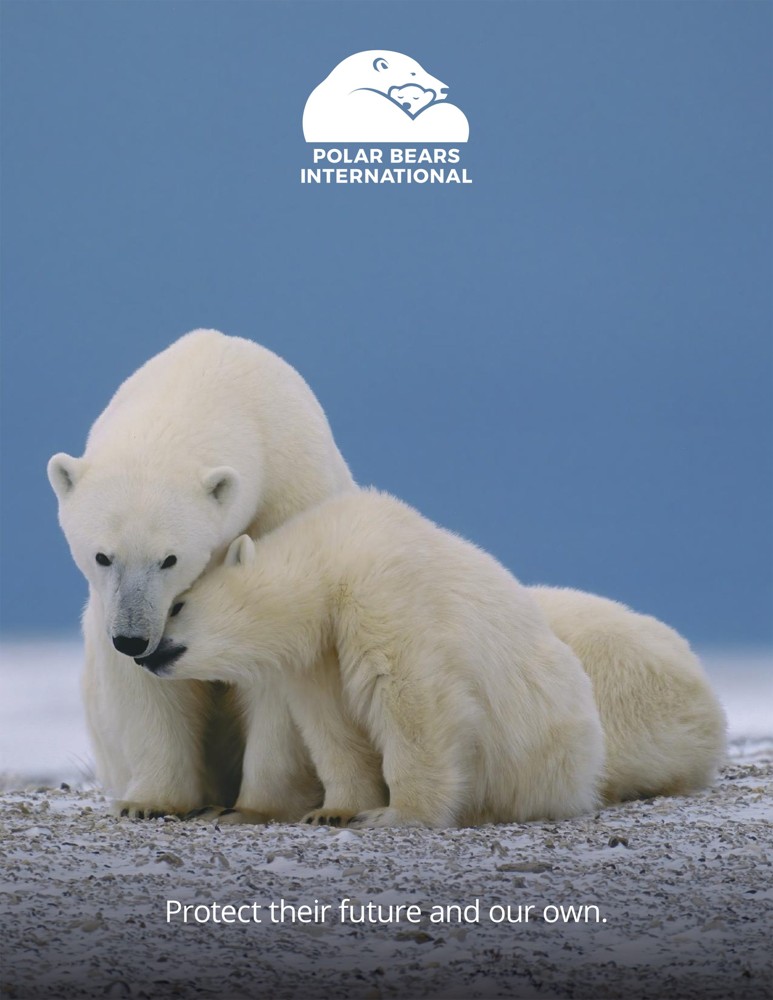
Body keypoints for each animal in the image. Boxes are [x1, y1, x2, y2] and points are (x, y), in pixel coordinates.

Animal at [47, 329, 356, 818]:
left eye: (169, 559)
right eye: (102, 556)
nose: (131, 639)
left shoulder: (289, 501)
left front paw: (257, 806)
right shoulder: (116, 611)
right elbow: (151, 688)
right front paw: (149, 801)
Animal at [139, 489, 606, 829]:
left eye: (178, 605)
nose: (146, 653)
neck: (332, 557)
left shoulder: (382, 589)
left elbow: (410, 696)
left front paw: (395, 814)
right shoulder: (318, 653)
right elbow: (330, 724)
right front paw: (333, 811)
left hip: (540, 742)